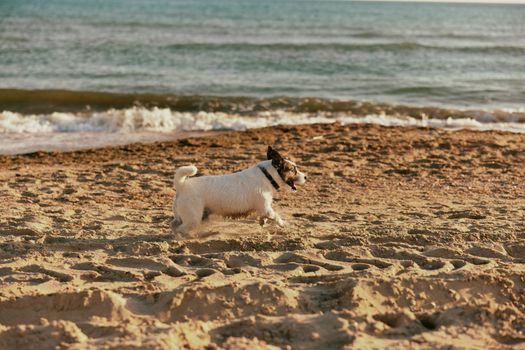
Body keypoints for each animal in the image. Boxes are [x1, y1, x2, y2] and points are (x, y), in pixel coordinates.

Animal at [170, 145, 304, 235]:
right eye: (293, 169)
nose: (306, 177)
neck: (267, 175)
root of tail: (182, 185)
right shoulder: (266, 208)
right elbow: (276, 216)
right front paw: (284, 224)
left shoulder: (264, 209)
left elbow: (265, 217)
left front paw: (263, 221)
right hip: (193, 218)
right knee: (180, 229)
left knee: (174, 225)